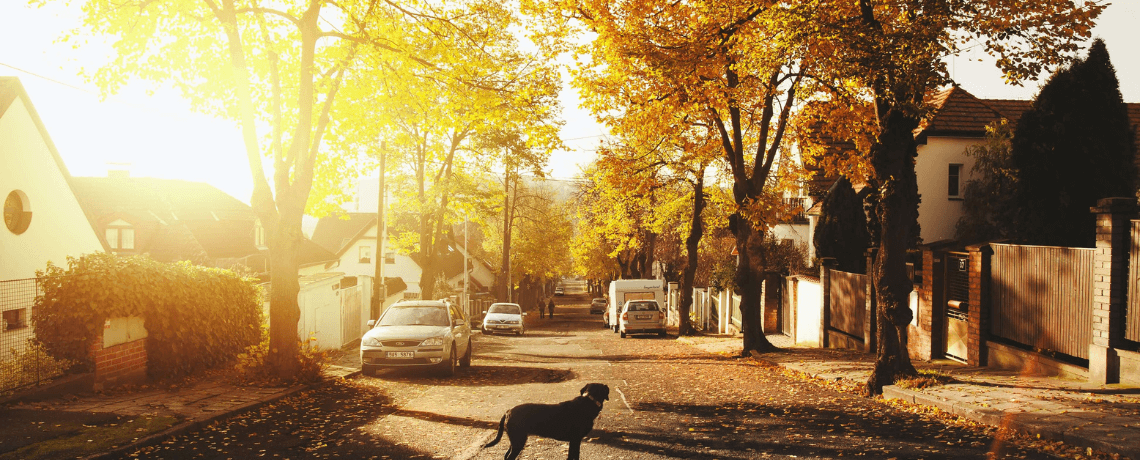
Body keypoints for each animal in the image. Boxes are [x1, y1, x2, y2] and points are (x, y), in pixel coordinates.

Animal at [483, 382, 611, 457]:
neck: (589, 401)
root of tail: (508, 411)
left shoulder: (574, 441)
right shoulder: (575, 439)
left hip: (515, 439)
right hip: (518, 440)